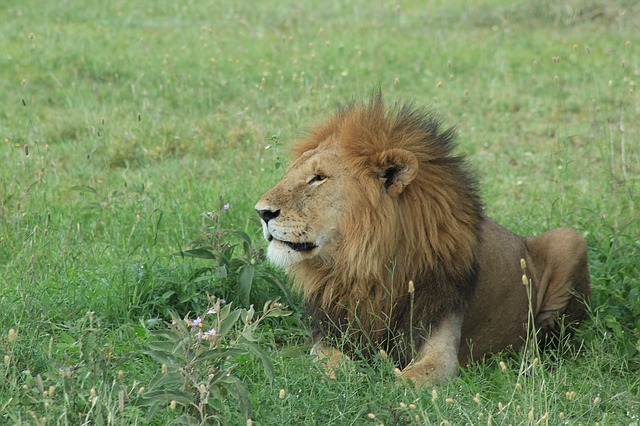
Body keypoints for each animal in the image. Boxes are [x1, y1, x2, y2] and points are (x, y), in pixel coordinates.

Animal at [255, 95, 591, 386]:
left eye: (318, 178)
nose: (261, 212)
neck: (368, 268)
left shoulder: (441, 349)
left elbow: (408, 382)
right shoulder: (331, 333)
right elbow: (330, 362)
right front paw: (353, 375)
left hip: (570, 238)